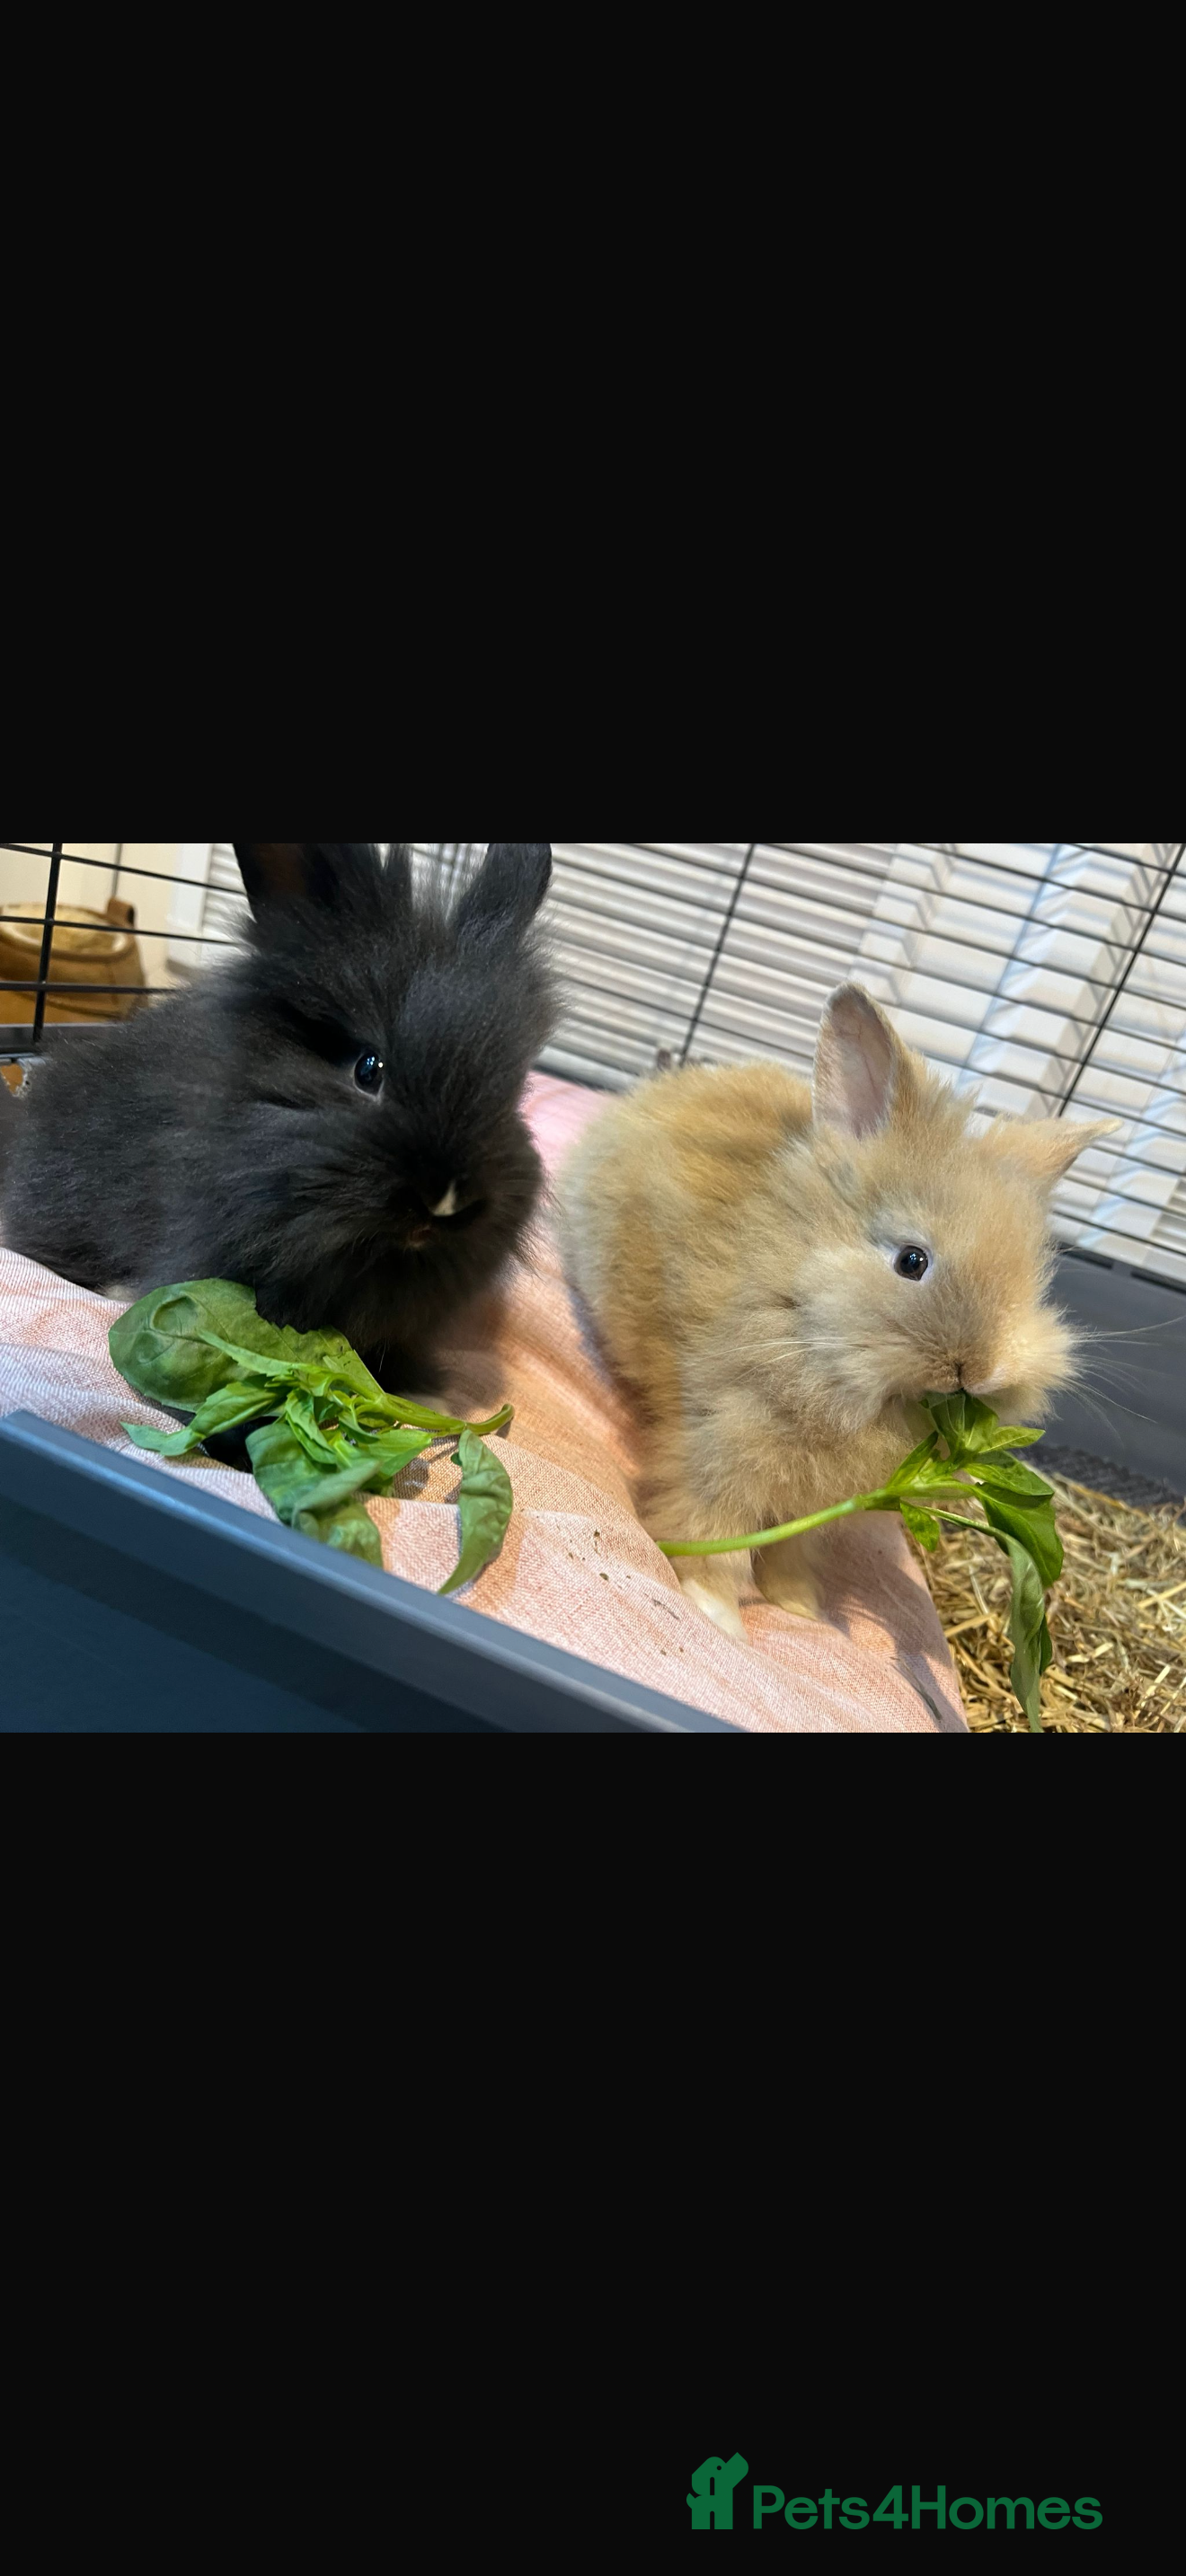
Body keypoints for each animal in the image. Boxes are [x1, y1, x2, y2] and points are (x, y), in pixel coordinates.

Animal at [557, 984, 1118, 1641]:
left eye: (1031, 1286)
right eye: (911, 1260)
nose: (978, 1371)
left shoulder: (817, 1500)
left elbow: (793, 1547)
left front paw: (801, 1608)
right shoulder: (721, 1439)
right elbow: (712, 1523)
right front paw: (715, 1613)